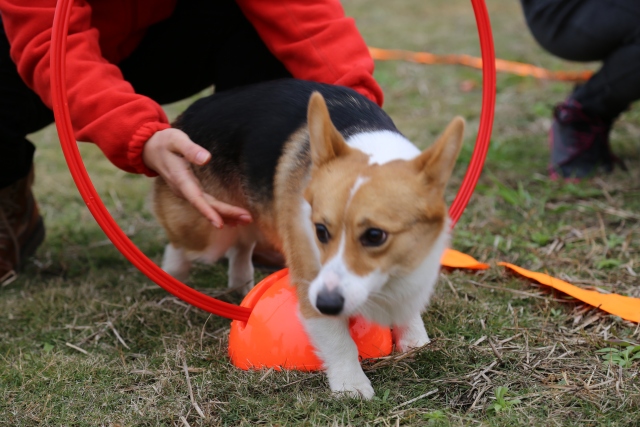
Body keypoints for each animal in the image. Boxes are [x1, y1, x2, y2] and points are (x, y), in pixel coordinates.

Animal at [155, 78, 464, 400]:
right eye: (321, 231)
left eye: (375, 235)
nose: (326, 302)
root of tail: (184, 117)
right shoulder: (310, 277)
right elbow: (338, 339)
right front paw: (351, 385)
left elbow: (409, 307)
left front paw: (416, 342)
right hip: (209, 233)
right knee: (184, 243)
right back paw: (173, 273)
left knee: (243, 242)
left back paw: (241, 283)